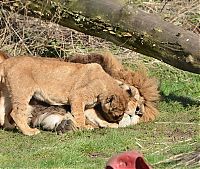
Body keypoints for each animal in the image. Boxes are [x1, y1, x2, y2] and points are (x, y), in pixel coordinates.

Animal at [0, 54, 131, 135]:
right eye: (117, 113)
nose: (119, 119)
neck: (105, 83)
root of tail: (6, 62)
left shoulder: (87, 105)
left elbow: (96, 116)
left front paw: (109, 125)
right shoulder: (77, 97)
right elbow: (80, 115)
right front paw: (83, 127)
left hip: (8, 93)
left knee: (3, 110)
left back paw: (9, 126)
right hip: (22, 92)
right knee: (16, 113)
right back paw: (29, 132)